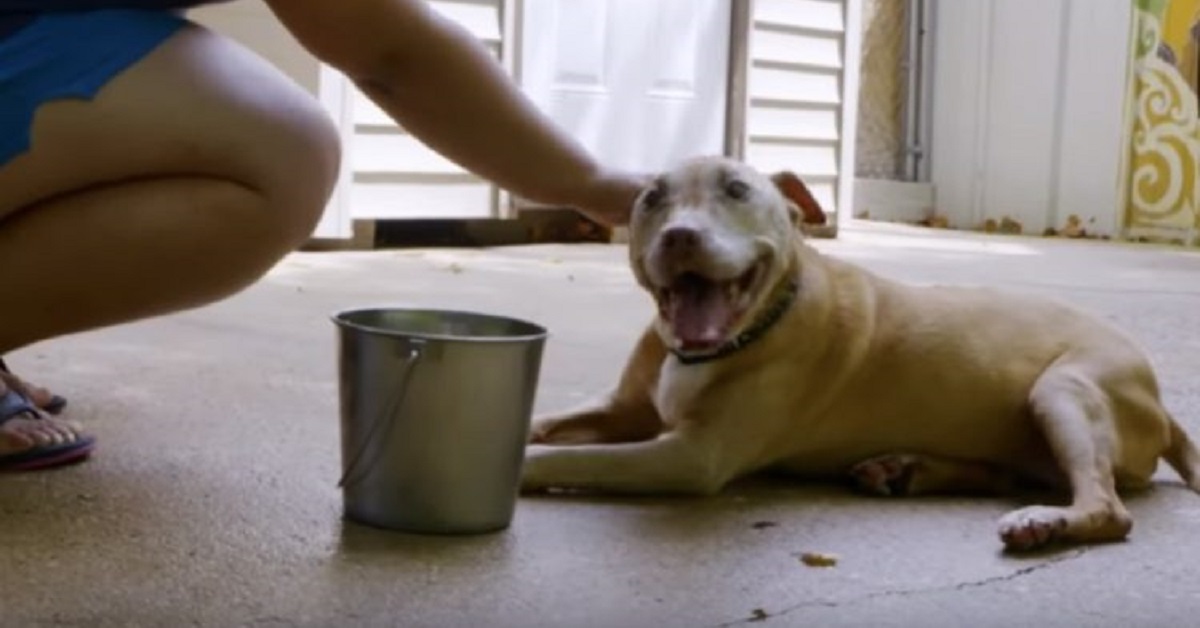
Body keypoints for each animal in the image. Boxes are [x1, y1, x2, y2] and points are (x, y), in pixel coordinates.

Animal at [520, 154, 1200, 552]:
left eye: (737, 190)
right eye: (650, 199)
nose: (680, 236)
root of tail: (1164, 410)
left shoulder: (690, 457)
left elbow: (566, 457)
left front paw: (524, 467)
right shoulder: (621, 409)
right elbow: (545, 423)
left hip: (1064, 390)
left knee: (1109, 508)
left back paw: (1044, 521)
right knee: (1015, 472)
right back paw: (908, 470)